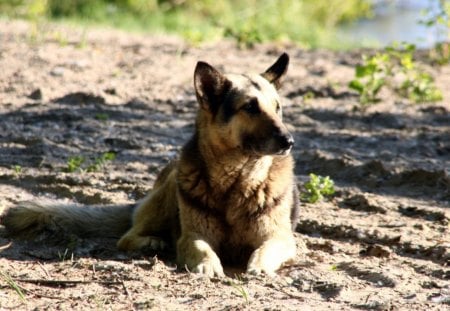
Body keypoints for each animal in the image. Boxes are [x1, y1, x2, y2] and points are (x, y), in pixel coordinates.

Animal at [3, 53, 300, 278]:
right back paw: (152, 242)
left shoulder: (281, 238)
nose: (289, 141)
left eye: (277, 108)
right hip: (168, 191)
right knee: (127, 236)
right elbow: (201, 247)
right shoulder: (192, 235)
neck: (237, 180)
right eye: (250, 107)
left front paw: (259, 266)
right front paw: (207, 264)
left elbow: (266, 249)